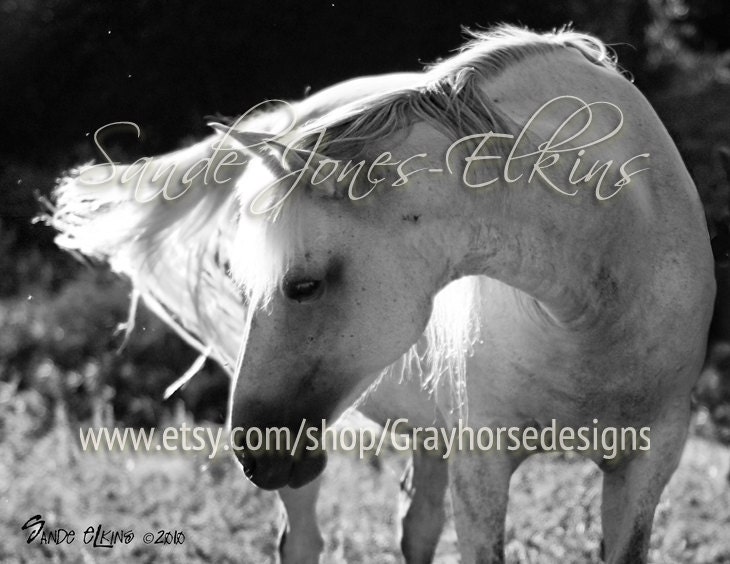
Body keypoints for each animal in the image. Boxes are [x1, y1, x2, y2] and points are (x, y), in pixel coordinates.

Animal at [51, 25, 715, 564]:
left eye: (304, 286)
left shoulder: (647, 466)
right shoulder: (482, 464)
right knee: (305, 541)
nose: (253, 453)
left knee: (416, 527)